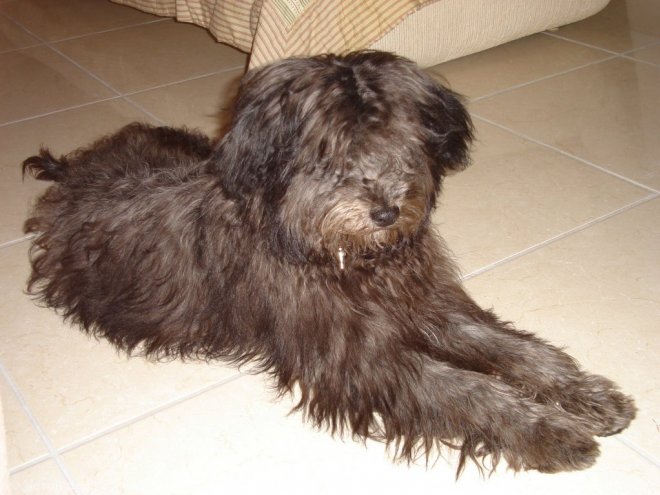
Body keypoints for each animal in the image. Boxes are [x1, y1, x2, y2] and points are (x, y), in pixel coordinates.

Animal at [21, 50, 636, 476]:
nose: (387, 211)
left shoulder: (427, 303)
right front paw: (549, 432)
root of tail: (74, 172)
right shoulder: (357, 356)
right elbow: (464, 389)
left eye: (399, 141)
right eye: (331, 155)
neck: (349, 261)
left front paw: (590, 395)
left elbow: (514, 349)